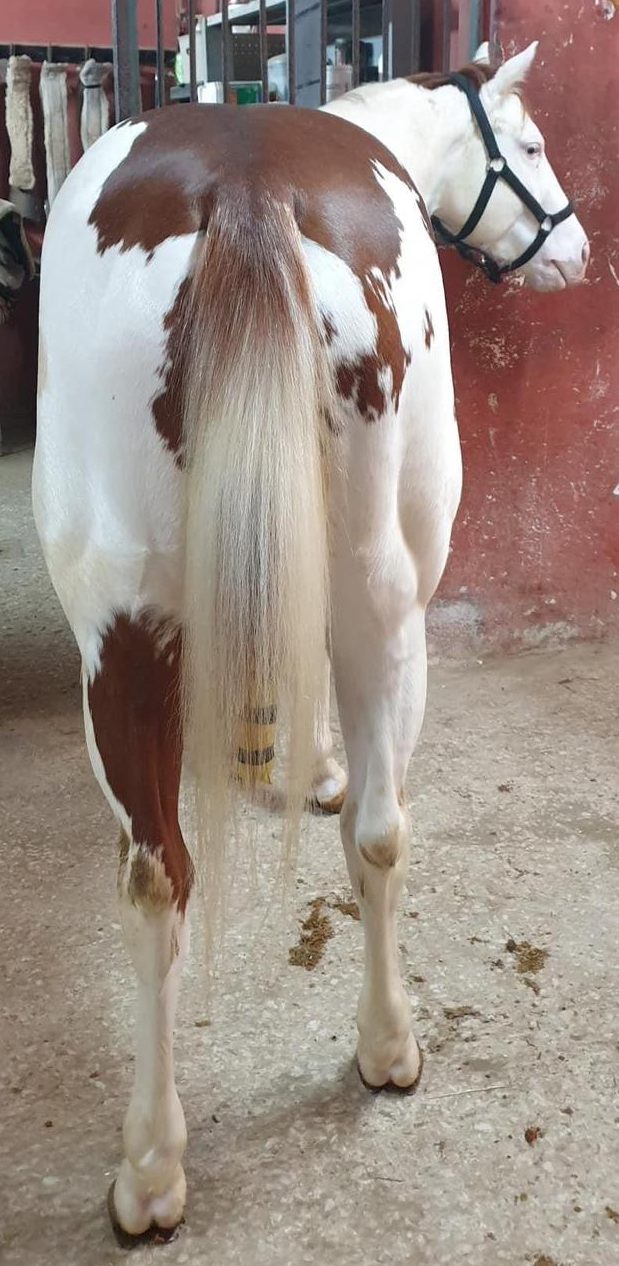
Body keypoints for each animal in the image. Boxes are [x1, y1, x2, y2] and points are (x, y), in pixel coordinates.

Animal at [32, 42, 588, 1239]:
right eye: (527, 145)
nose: (575, 251)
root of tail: (245, 189)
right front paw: (306, 762)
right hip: (387, 601)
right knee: (369, 833)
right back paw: (380, 1047)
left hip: (129, 632)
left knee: (161, 877)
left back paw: (155, 1167)